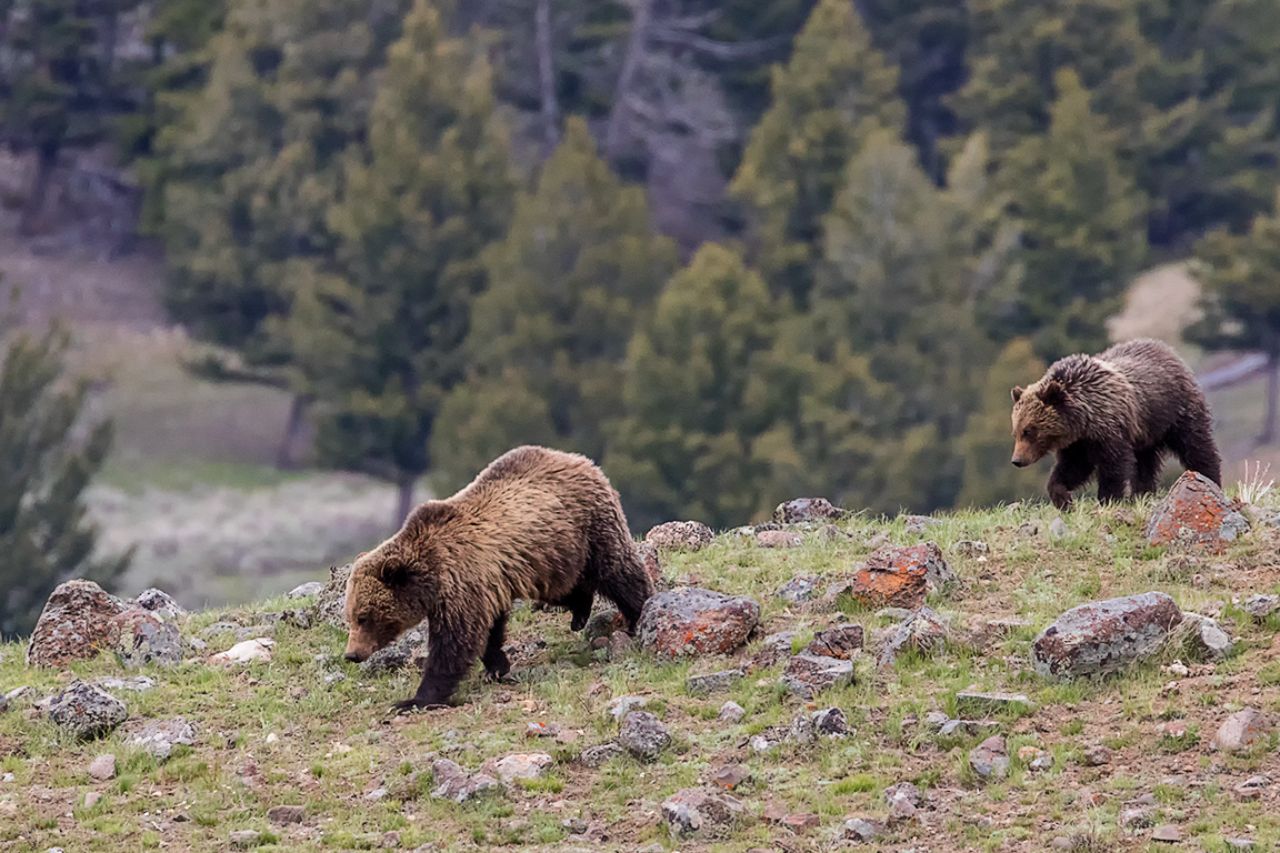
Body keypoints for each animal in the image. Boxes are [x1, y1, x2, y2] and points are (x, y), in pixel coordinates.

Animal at [342, 445, 653, 711]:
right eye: (351, 616)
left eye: (363, 617)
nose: (351, 654)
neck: (431, 579)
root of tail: (579, 459)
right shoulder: (484, 587)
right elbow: (488, 631)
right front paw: (497, 666)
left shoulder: (461, 584)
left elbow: (455, 644)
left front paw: (416, 699)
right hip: (550, 555)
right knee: (563, 586)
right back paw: (579, 611)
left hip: (589, 526)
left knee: (617, 570)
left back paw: (637, 614)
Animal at [1010, 338, 1221, 510]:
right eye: (1016, 432)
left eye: (1029, 430)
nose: (1017, 460)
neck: (1083, 420)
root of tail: (1168, 350)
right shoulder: (1078, 444)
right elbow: (1072, 468)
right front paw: (1063, 499)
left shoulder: (1109, 428)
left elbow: (1113, 466)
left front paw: (1108, 499)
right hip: (1145, 431)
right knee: (1145, 463)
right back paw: (1142, 493)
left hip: (1174, 412)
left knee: (1195, 445)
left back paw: (1209, 479)